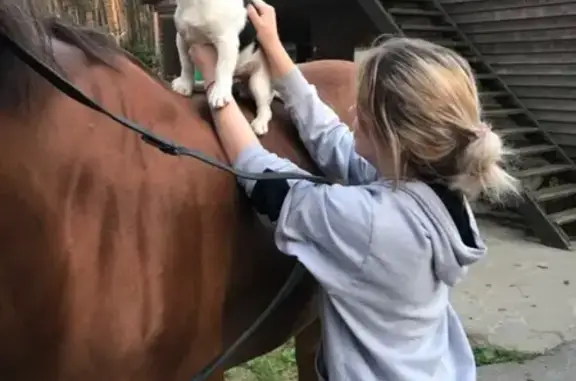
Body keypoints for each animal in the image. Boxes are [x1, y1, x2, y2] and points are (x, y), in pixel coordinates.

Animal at [172, 0, 274, 135]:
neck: (196, 3)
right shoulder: (182, 38)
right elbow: (185, 64)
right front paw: (184, 85)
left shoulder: (226, 42)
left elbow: (222, 68)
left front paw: (219, 93)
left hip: (258, 83)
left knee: (265, 107)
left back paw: (260, 122)